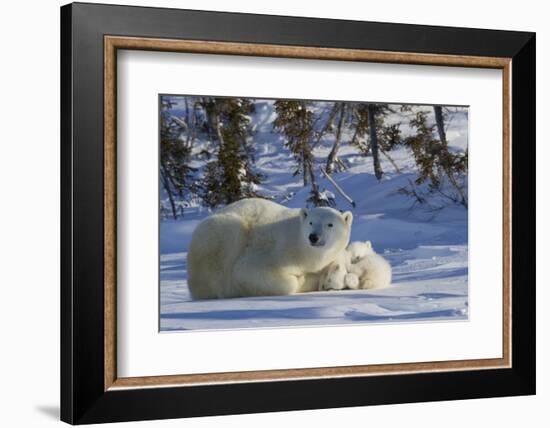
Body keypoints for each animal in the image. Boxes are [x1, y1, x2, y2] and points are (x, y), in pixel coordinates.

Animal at [189, 199, 354, 300]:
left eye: (330, 224)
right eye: (311, 222)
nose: (313, 237)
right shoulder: (275, 251)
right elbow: (247, 272)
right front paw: (303, 279)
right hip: (223, 234)